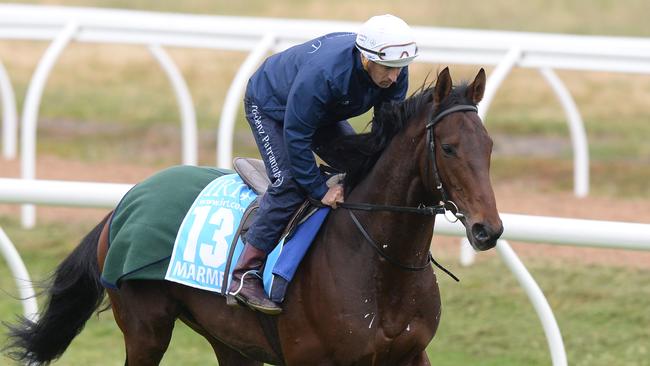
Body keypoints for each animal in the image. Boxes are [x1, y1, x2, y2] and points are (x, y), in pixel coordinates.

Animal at [2, 67, 502, 364]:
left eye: (489, 145)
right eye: (449, 148)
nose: (488, 230)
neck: (380, 263)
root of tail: (124, 203)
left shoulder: (411, 355)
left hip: (228, 340)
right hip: (147, 328)